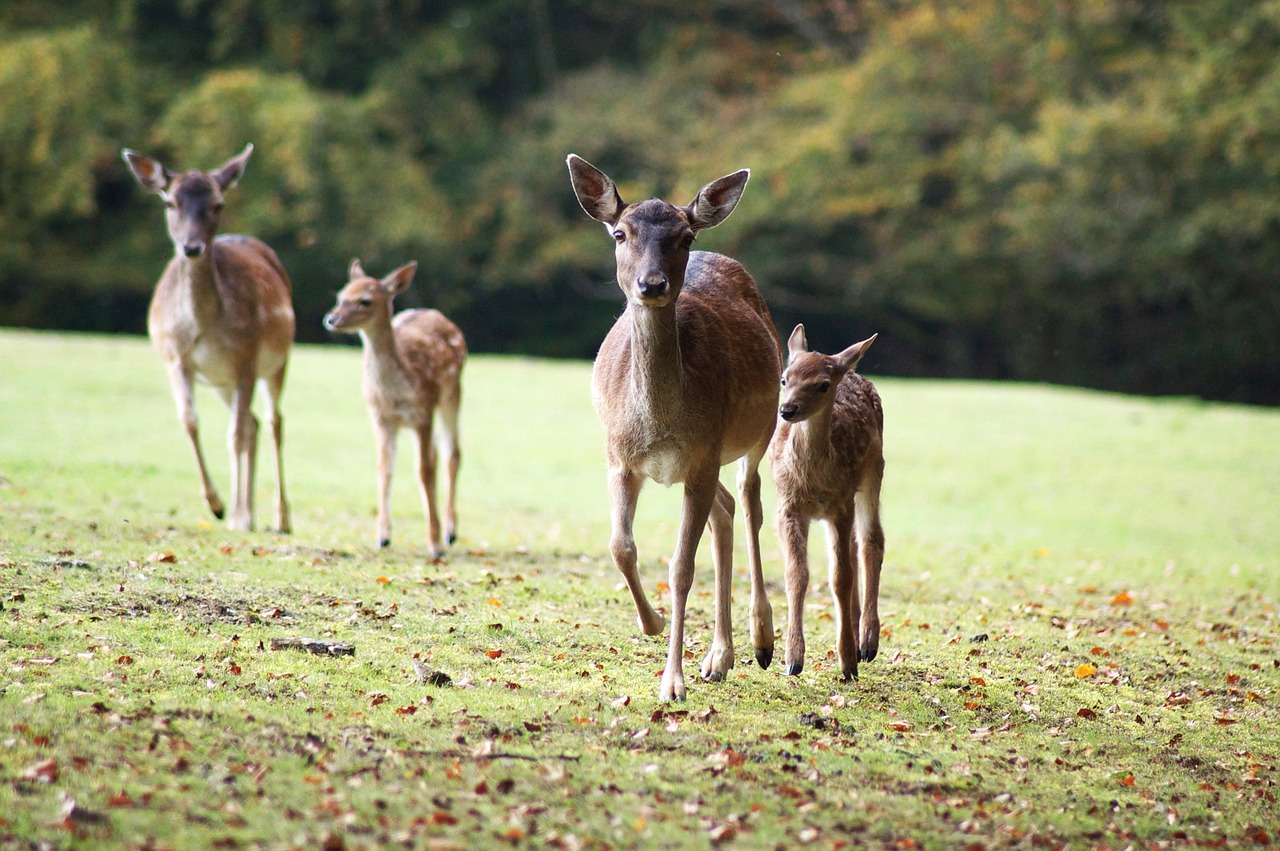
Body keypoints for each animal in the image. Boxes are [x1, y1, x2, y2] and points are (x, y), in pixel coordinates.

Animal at [120, 145, 293, 532]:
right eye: (170, 202)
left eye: (218, 204)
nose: (192, 247)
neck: (203, 326)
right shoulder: (176, 359)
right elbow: (190, 421)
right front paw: (217, 505)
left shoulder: (246, 360)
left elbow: (234, 436)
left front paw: (236, 513)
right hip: (219, 381)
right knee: (254, 423)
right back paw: (250, 513)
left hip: (278, 361)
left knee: (273, 422)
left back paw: (279, 517)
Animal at [322, 255, 468, 555]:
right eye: (341, 295)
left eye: (365, 301)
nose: (330, 319)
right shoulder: (380, 417)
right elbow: (384, 468)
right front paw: (382, 537)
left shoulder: (423, 411)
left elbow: (424, 471)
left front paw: (435, 544)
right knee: (436, 454)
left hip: (452, 393)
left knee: (451, 453)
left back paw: (450, 532)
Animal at [568, 154, 783, 701]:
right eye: (620, 233)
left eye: (684, 237)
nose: (651, 285)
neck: (660, 425)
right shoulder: (619, 458)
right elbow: (620, 548)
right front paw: (654, 622)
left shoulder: (703, 456)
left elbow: (682, 568)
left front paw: (672, 683)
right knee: (725, 512)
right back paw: (719, 658)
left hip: (762, 427)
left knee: (749, 504)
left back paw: (764, 641)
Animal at [762, 322, 885, 680]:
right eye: (784, 378)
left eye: (823, 384)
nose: (787, 410)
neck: (812, 481)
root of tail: (853, 371)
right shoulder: (788, 507)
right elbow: (796, 573)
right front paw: (792, 659)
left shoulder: (840, 505)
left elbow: (840, 577)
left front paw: (847, 663)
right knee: (857, 547)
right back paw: (857, 637)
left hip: (874, 472)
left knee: (872, 541)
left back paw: (867, 642)